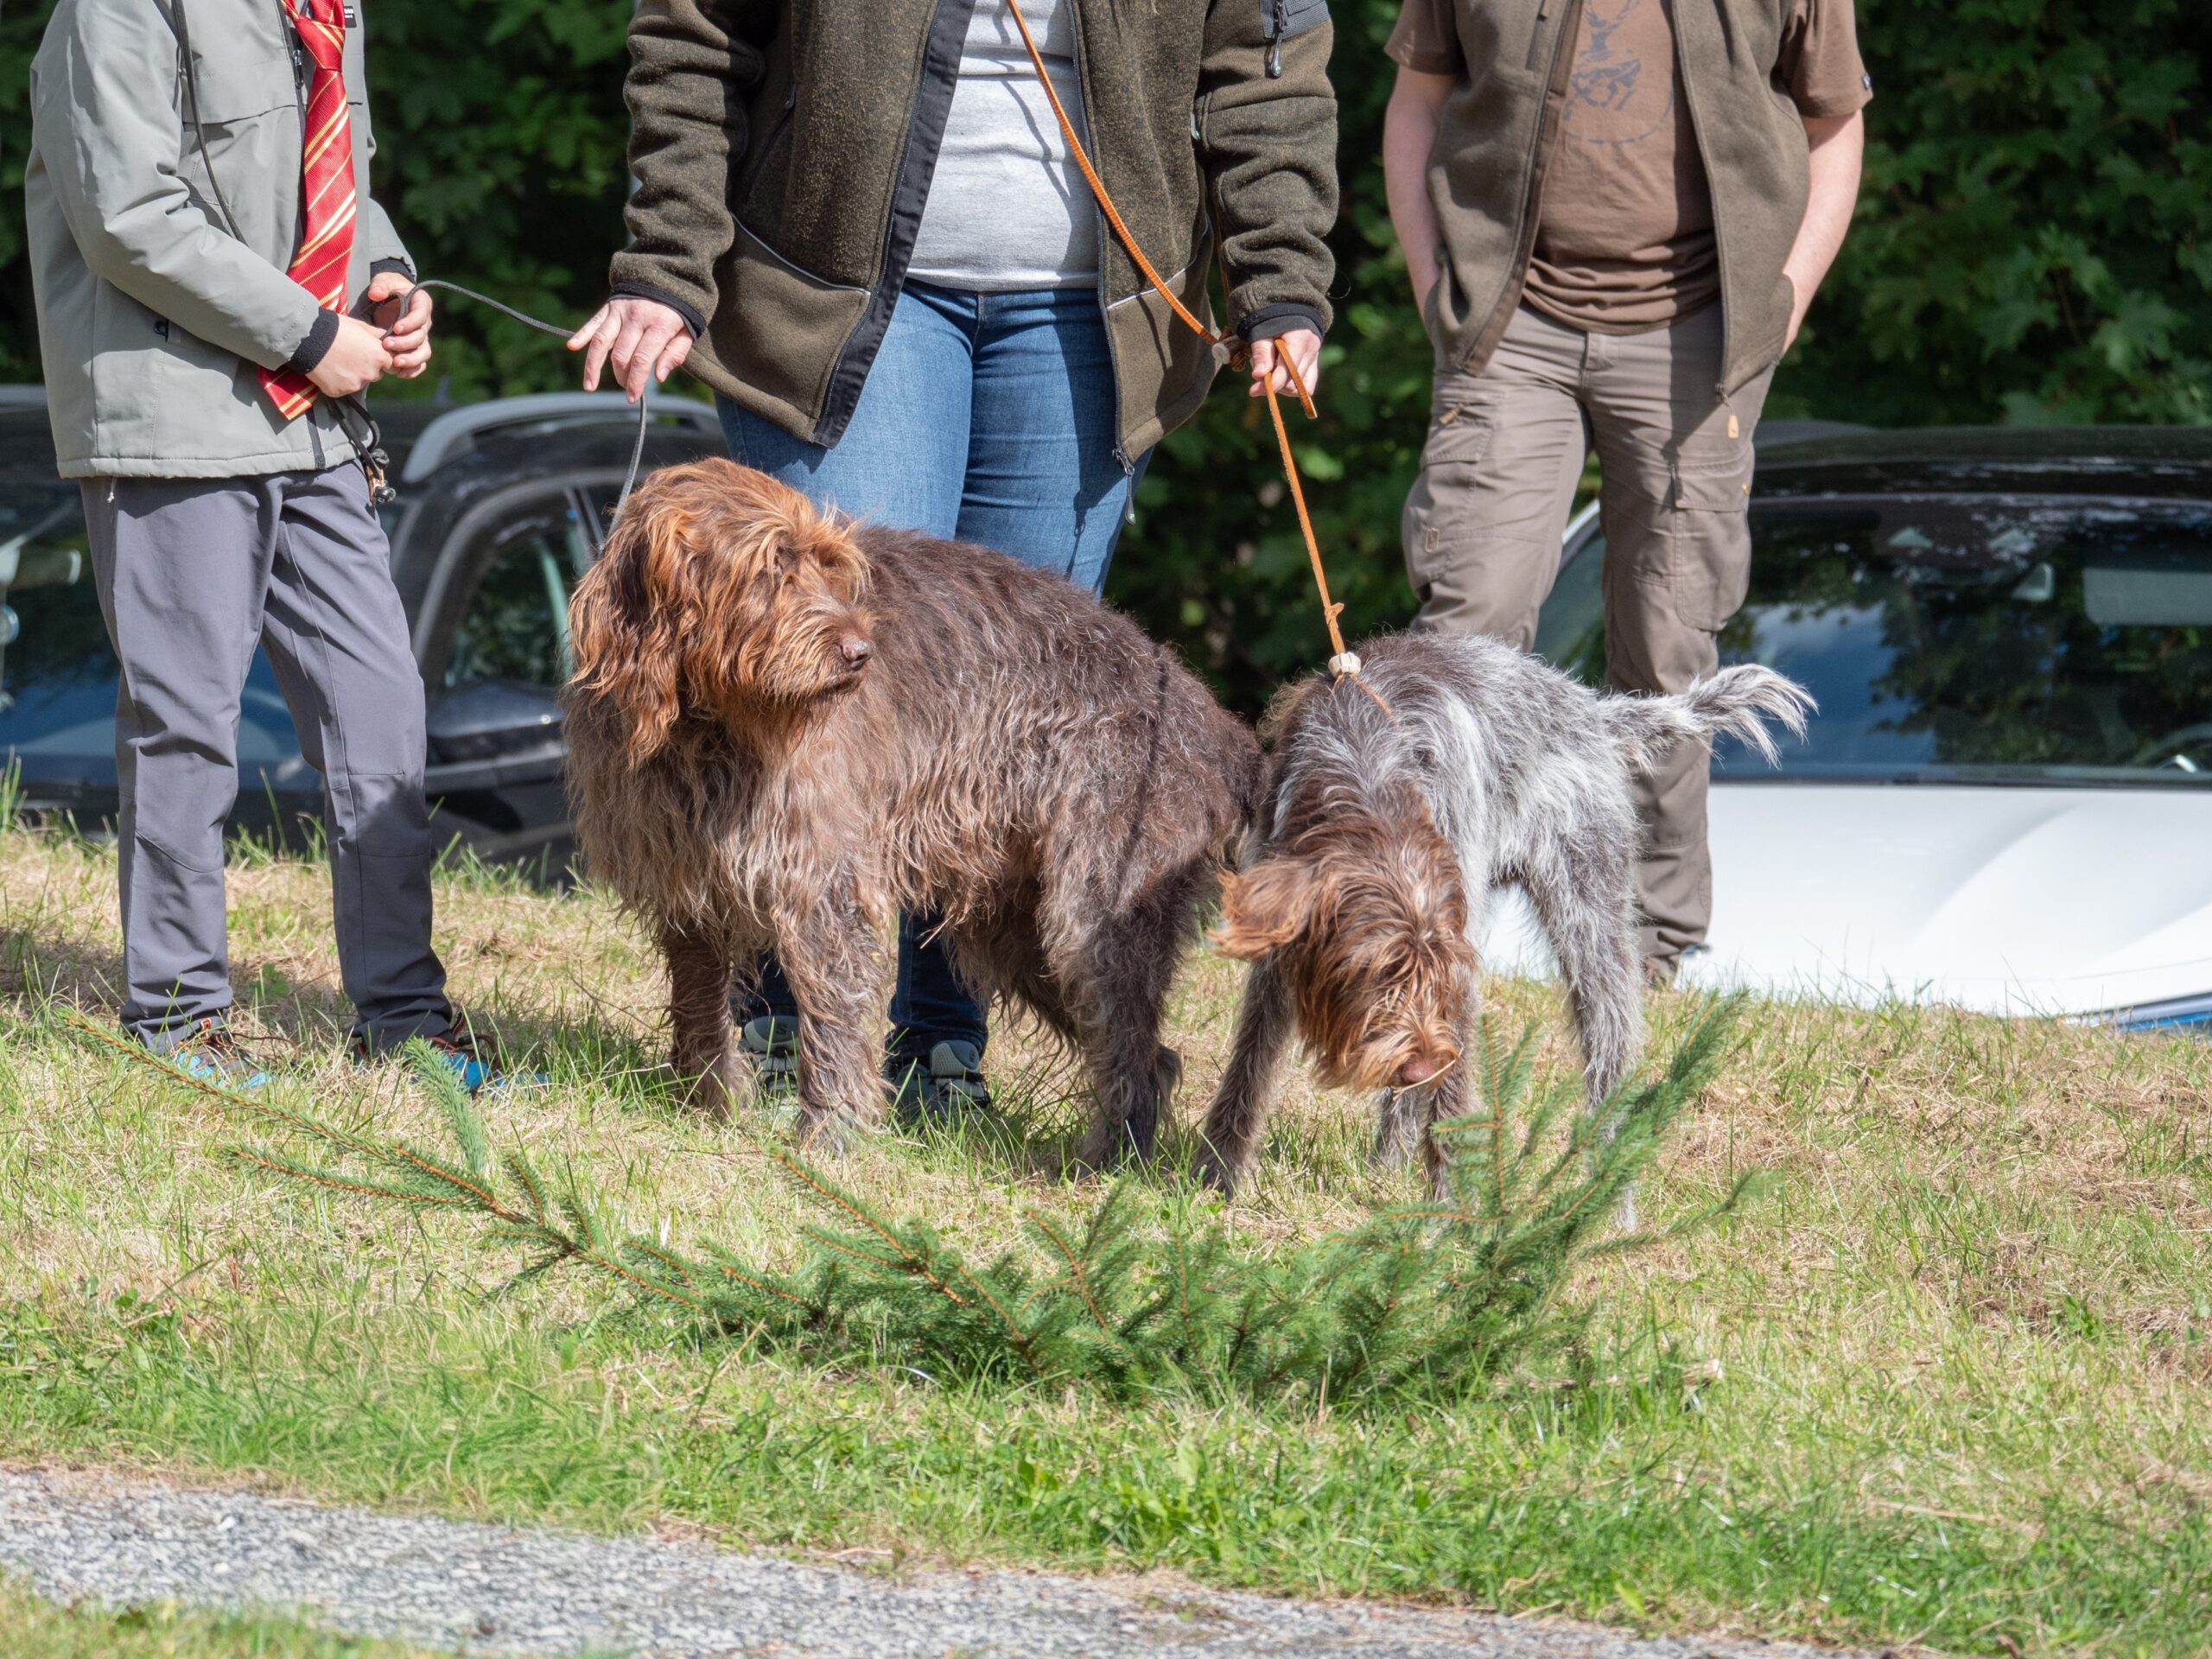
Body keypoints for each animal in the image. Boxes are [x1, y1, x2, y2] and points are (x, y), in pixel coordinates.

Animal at [1196, 631, 1812, 1198]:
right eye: (1374, 973)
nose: (1418, 1065)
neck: (1363, 764)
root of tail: (1591, 708)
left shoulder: (1455, 962)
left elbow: (1450, 1095)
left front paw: (1448, 1211)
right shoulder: (1281, 943)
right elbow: (1249, 1065)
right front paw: (1214, 1181)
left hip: (1591, 931)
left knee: (1606, 1060)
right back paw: (1386, 1170)